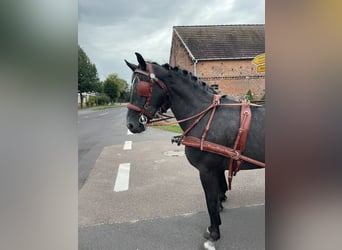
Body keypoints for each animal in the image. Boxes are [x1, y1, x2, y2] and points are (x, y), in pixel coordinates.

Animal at [125, 52, 264, 244]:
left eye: (141, 87)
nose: (131, 124)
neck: (204, 114)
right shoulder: (216, 169)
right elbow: (218, 194)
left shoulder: (207, 171)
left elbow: (210, 202)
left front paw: (214, 232)